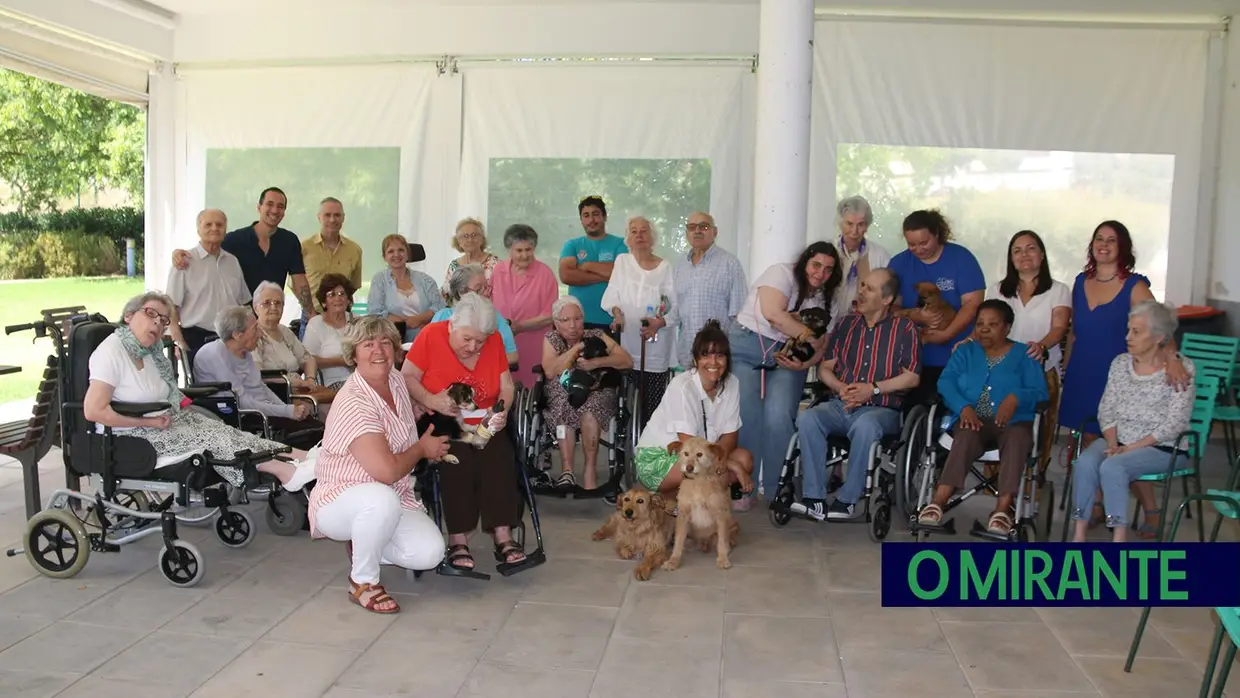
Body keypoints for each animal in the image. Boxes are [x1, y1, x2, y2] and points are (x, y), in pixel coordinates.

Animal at [664, 436, 739, 572]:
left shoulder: (720, 514)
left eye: (699, 454)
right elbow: (678, 541)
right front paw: (673, 561)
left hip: (732, 522)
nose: (689, 467)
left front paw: (723, 559)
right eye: (686, 453)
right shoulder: (682, 515)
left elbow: (721, 540)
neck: (697, 482)